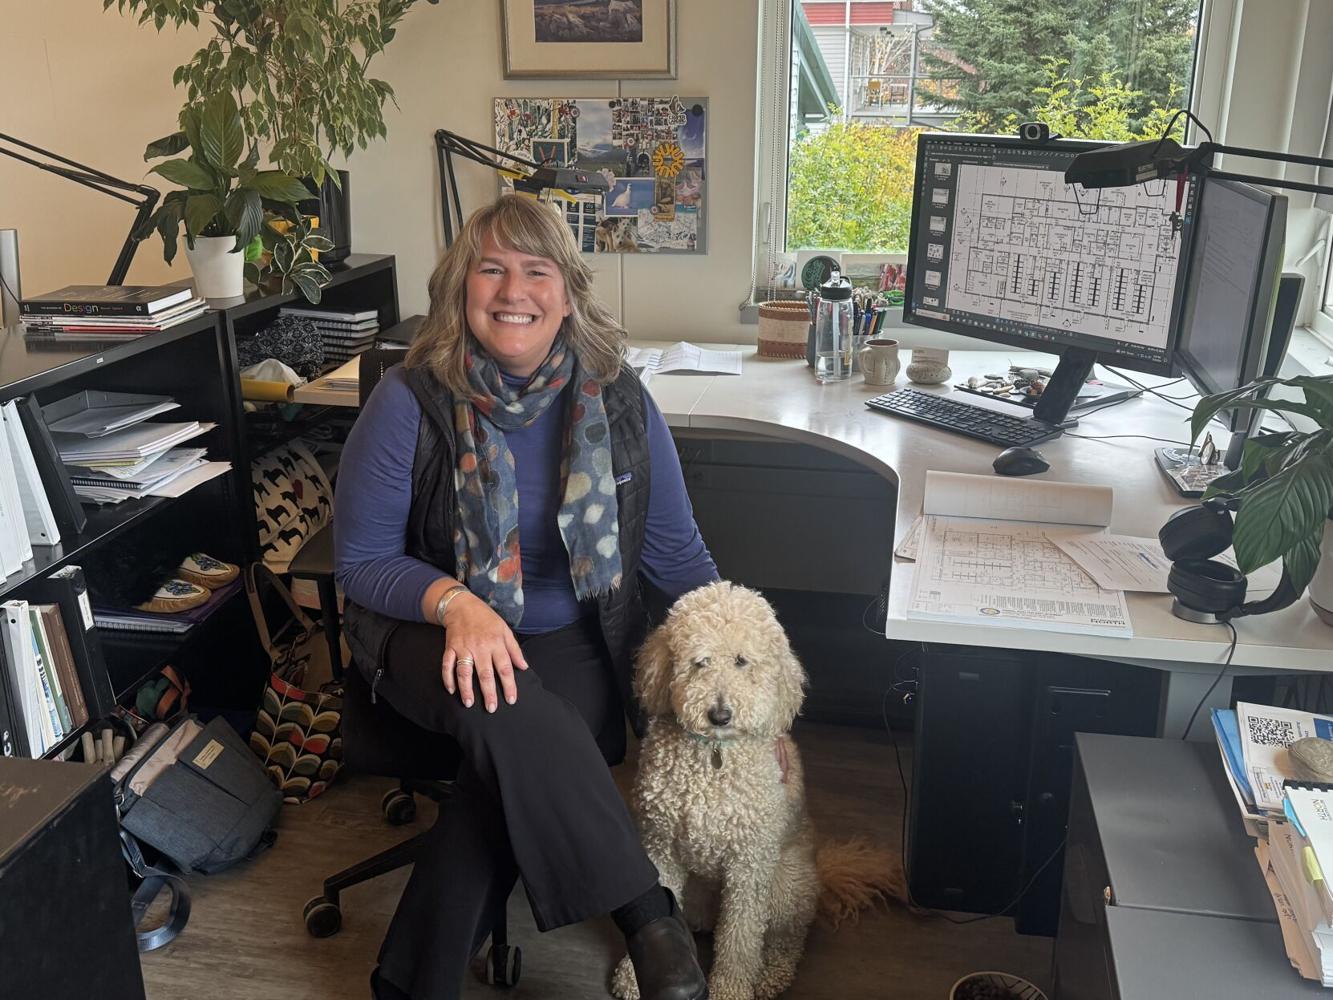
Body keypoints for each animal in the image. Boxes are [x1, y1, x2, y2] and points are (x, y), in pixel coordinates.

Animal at [610, 584, 901, 1000]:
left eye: (742, 662)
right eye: (700, 661)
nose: (719, 714)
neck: (713, 758)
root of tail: (821, 870)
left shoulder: (748, 866)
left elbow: (740, 939)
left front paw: (731, 988)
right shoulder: (661, 847)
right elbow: (658, 902)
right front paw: (636, 975)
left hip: (784, 888)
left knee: (785, 941)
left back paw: (769, 976)